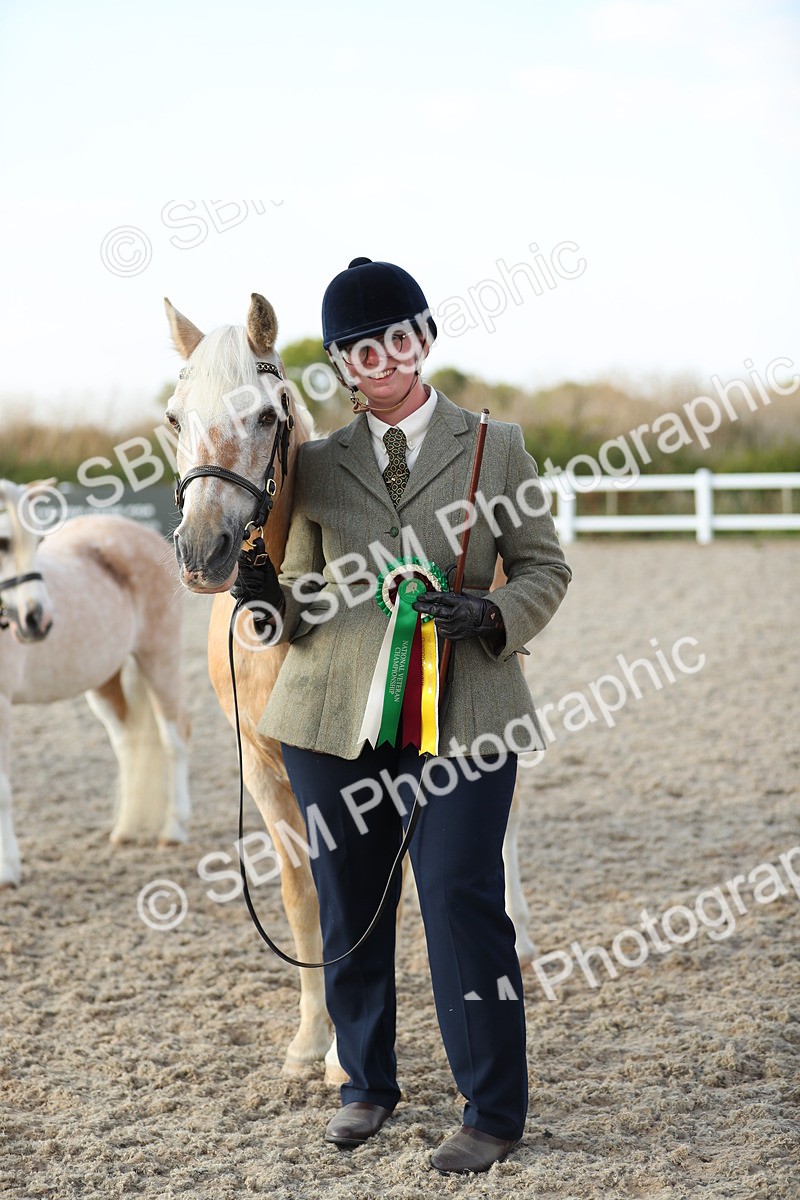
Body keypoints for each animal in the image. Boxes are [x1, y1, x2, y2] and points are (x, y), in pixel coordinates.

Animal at [0, 480, 190, 887]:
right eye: (3, 542)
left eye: (38, 540)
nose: (38, 620)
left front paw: (7, 871)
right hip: (106, 681)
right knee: (128, 743)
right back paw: (126, 831)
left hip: (160, 660)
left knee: (175, 738)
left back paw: (174, 830)